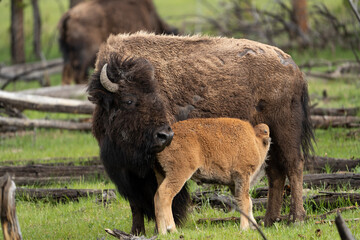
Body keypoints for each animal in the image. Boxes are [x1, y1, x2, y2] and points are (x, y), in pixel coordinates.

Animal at [88, 31, 316, 234]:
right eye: (128, 100)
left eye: (159, 99)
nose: (165, 136)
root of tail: (294, 68)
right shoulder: (127, 170)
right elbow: (136, 203)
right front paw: (137, 231)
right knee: (276, 172)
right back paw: (269, 221)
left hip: (285, 132)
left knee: (294, 166)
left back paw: (296, 219)